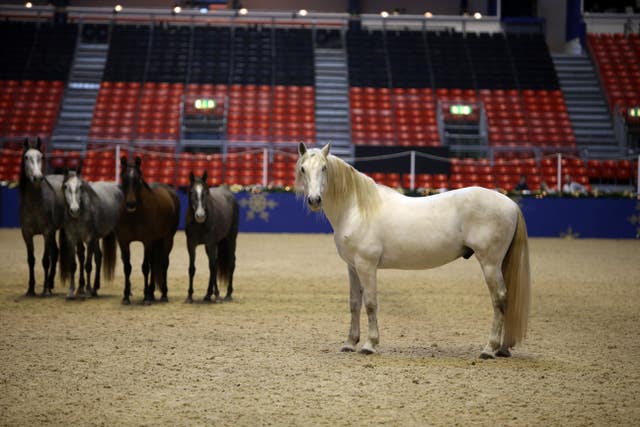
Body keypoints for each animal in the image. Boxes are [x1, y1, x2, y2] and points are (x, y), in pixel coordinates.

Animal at [115, 157, 179, 304]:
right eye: (124, 178)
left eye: (138, 180)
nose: (131, 204)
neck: (134, 215)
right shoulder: (123, 242)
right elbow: (127, 267)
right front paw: (126, 296)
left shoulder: (147, 241)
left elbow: (145, 267)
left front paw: (145, 298)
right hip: (156, 241)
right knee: (153, 263)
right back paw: (151, 292)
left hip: (167, 239)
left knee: (163, 263)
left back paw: (163, 295)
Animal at [185, 172, 240, 302]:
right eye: (191, 191)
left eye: (206, 192)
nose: (200, 215)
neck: (200, 224)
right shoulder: (191, 244)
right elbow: (192, 268)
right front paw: (189, 295)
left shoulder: (210, 244)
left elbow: (212, 266)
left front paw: (213, 294)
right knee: (215, 263)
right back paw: (212, 294)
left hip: (231, 238)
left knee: (231, 262)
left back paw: (228, 294)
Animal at [296, 143, 528, 358]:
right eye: (303, 169)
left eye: (324, 168)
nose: (314, 200)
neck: (356, 209)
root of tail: (510, 203)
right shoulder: (353, 267)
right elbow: (354, 303)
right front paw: (350, 343)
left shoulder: (366, 265)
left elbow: (370, 303)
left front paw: (370, 345)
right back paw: (503, 348)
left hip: (490, 263)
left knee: (499, 298)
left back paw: (489, 349)